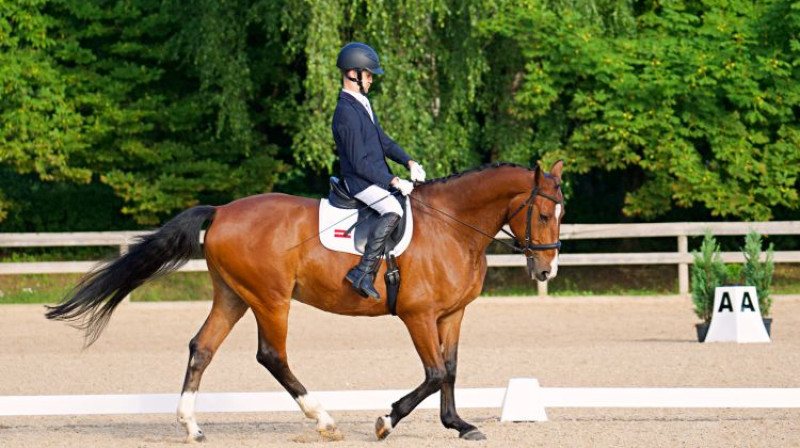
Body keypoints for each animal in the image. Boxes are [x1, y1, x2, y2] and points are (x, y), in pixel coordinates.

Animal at [47, 160, 564, 440]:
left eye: (561, 213)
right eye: (542, 213)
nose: (545, 271)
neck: (452, 226)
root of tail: (222, 211)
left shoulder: (451, 314)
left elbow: (451, 370)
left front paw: (459, 424)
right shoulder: (417, 315)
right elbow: (434, 373)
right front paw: (386, 420)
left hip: (233, 296)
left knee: (202, 348)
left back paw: (192, 427)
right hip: (271, 299)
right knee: (271, 355)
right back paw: (325, 421)